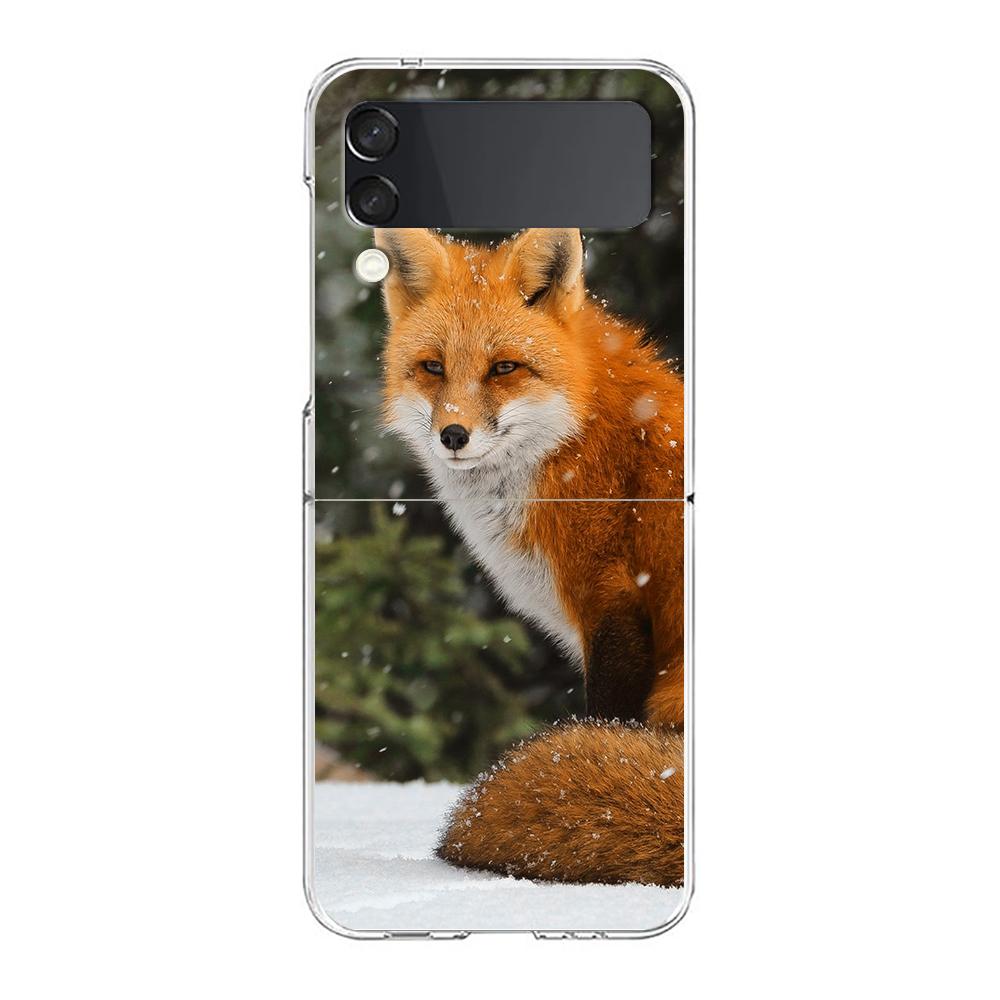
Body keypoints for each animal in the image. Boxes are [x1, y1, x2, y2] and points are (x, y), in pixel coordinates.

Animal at [374, 227, 686, 887]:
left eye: (504, 368)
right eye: (433, 367)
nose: (454, 436)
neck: (575, 439)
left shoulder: (611, 602)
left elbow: (606, 721)